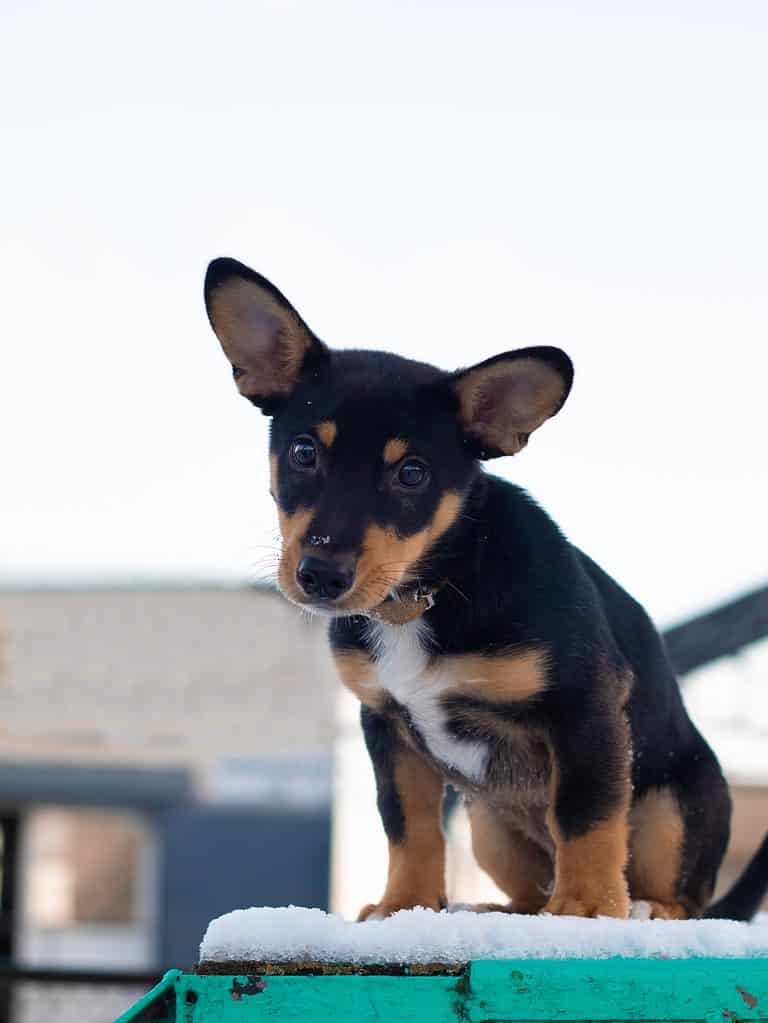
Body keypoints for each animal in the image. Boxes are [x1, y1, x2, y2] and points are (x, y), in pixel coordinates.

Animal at [204, 255, 768, 920]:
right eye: (302, 451)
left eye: (412, 474)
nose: (320, 576)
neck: (427, 591)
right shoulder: (387, 727)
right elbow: (410, 826)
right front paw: (405, 904)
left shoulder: (585, 707)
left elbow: (587, 816)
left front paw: (585, 907)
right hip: (488, 824)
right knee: (529, 886)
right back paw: (498, 909)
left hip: (673, 807)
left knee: (684, 896)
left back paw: (640, 907)